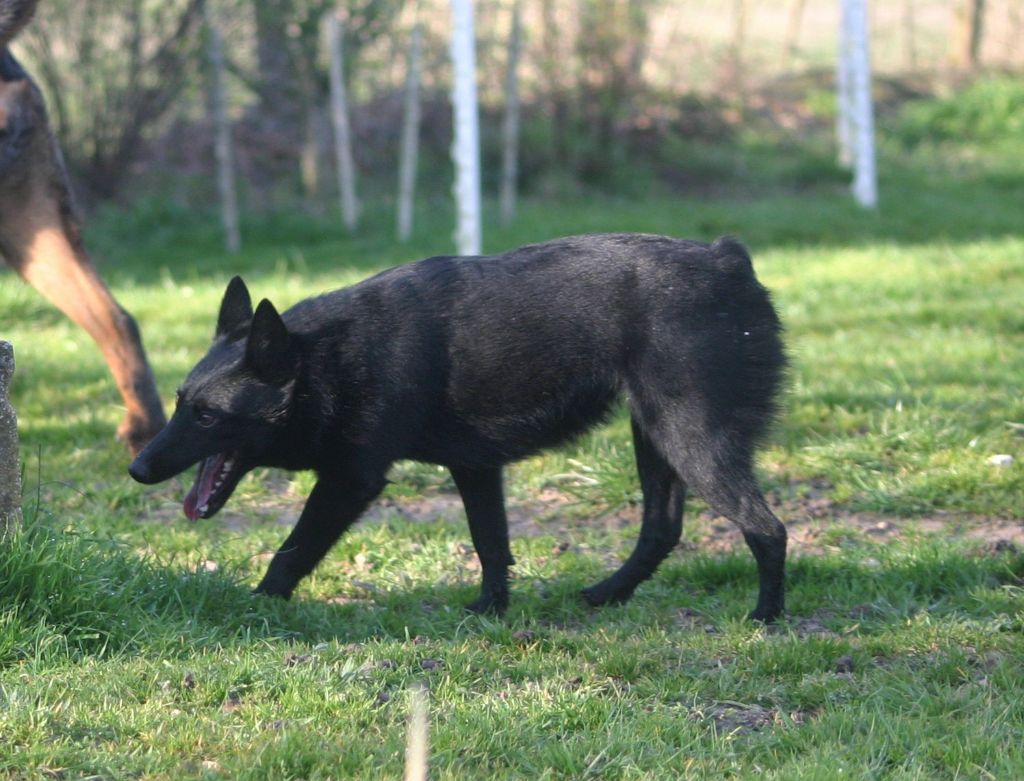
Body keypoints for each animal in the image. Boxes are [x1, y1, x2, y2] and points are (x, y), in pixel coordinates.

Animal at [128, 235, 782, 618]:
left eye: (207, 415)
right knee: (662, 530)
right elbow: (491, 545)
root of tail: (728, 257)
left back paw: (766, 617)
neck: (326, 358)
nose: (137, 468)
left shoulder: (351, 480)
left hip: (692, 441)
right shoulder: (475, 468)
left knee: (767, 529)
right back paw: (606, 595)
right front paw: (491, 612)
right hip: (656, 439)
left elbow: (293, 550)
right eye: (181, 402)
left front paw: (260, 606)